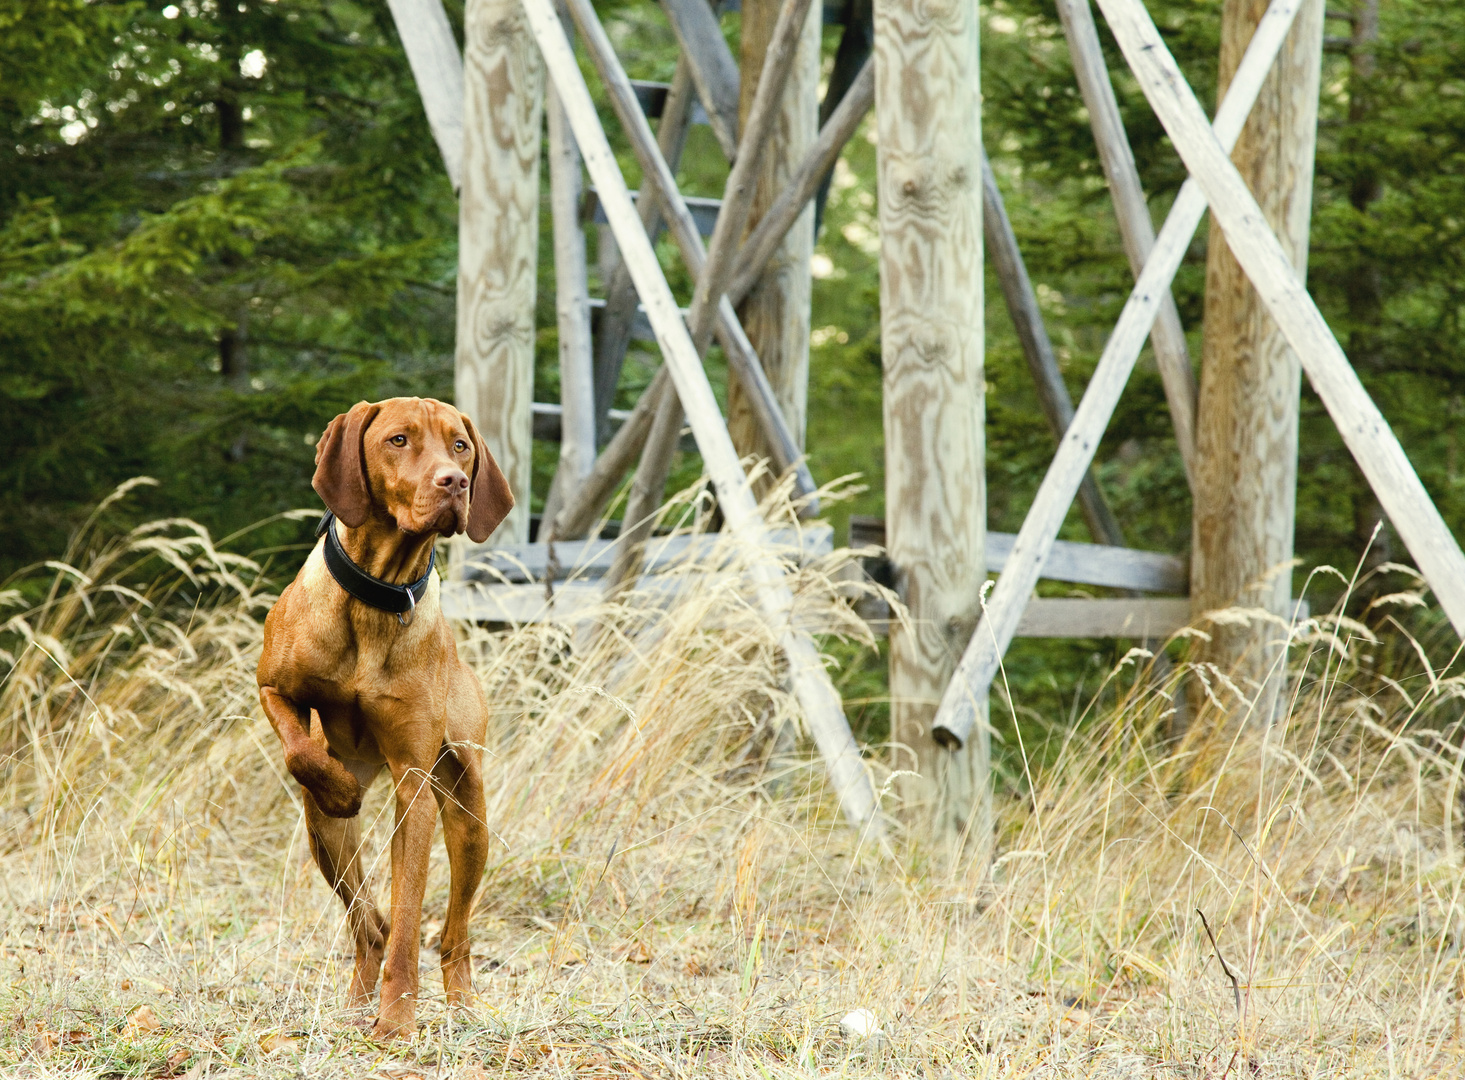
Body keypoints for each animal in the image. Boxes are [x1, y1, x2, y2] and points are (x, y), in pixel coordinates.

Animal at [257, 395, 515, 1037]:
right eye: (398, 439)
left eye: (460, 446)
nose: (455, 484)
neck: (378, 593)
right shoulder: (271, 686)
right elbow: (300, 748)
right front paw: (340, 786)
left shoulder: (413, 784)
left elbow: (409, 923)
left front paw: (397, 1021)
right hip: (323, 835)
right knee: (368, 926)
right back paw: (355, 1004)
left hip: (468, 816)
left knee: (448, 934)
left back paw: (461, 1006)